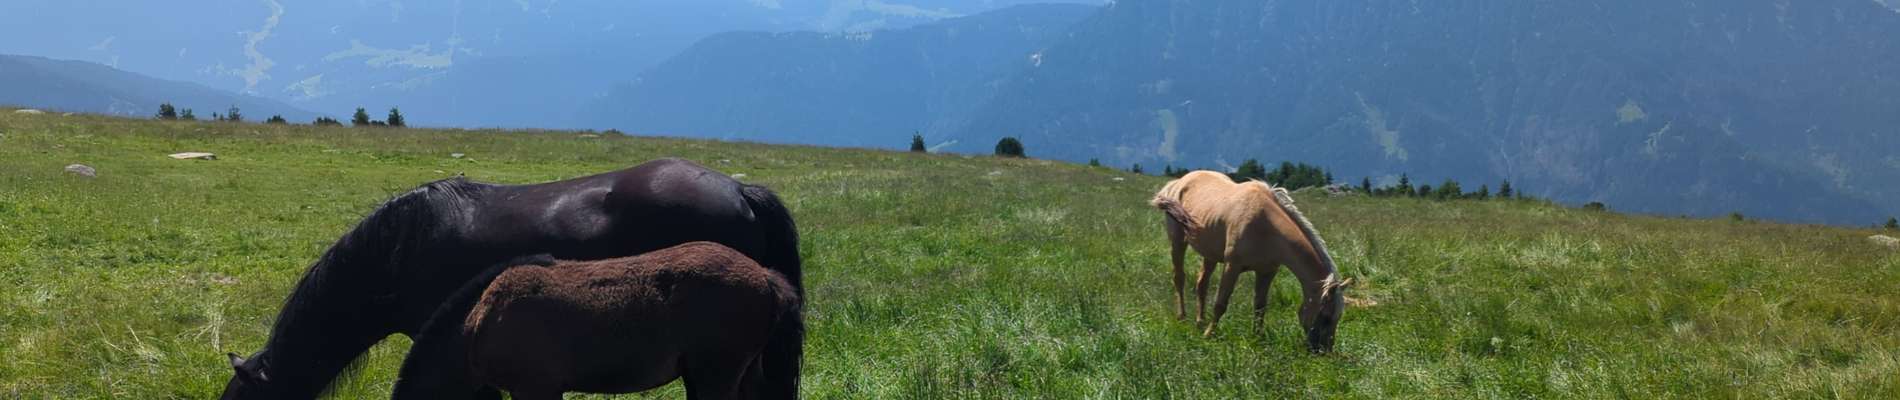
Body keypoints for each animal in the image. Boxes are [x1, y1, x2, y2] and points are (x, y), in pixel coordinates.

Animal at [1150, 170, 1352, 352]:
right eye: (1325, 316)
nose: (1324, 351)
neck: (1267, 228)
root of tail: (1179, 182)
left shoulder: (1267, 272)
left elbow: (1260, 306)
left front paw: (1257, 338)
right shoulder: (1232, 266)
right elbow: (1221, 303)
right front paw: (1209, 334)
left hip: (1210, 254)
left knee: (1201, 284)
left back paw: (1200, 322)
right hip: (1177, 242)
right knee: (1179, 278)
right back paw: (1183, 318)